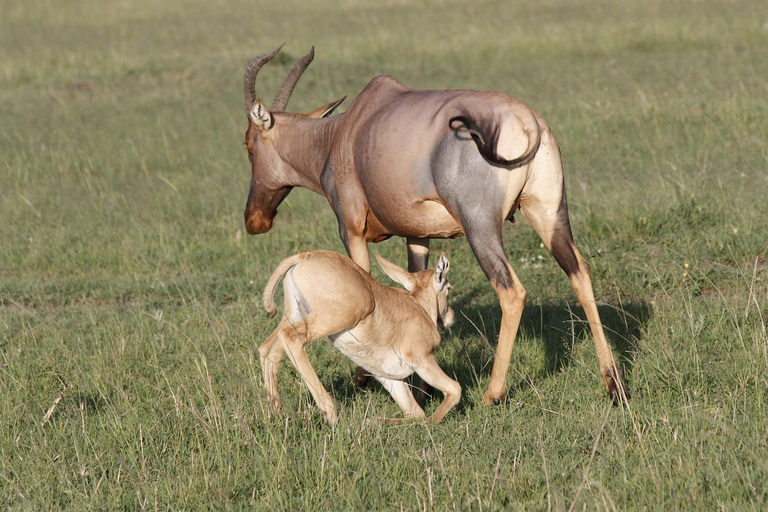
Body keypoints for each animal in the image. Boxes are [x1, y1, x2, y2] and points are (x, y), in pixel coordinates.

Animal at [244, 44, 632, 406]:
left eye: (248, 143)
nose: (254, 220)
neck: (347, 130)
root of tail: (527, 120)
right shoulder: (418, 235)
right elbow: (416, 283)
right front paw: (424, 388)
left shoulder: (351, 228)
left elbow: (364, 279)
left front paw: (364, 377)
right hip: (549, 212)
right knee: (579, 271)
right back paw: (614, 385)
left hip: (480, 225)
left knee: (512, 292)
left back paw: (493, 394)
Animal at [260, 250, 460, 426]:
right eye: (448, 287)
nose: (451, 316)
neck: (419, 307)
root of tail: (304, 256)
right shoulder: (422, 361)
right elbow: (454, 389)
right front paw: (429, 424)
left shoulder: (389, 377)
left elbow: (415, 413)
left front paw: (373, 420)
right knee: (290, 338)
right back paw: (331, 416)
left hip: (294, 315)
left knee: (269, 348)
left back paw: (276, 412)